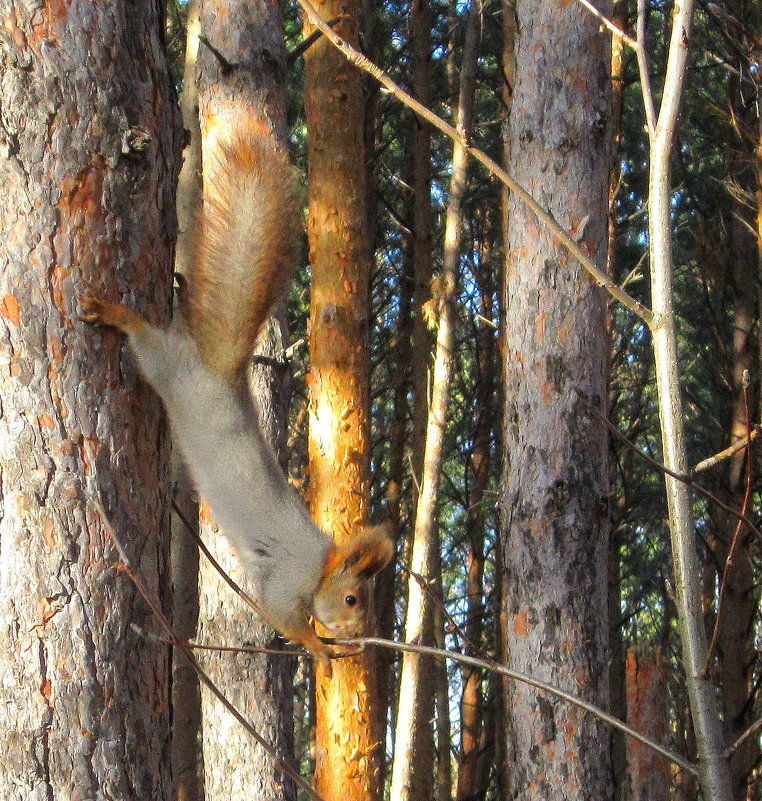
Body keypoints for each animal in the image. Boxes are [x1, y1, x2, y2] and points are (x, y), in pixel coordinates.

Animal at [81, 117, 394, 668]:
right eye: (353, 598)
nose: (360, 636)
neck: (319, 563)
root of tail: (218, 372)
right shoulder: (285, 579)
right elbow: (281, 616)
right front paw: (319, 645)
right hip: (168, 367)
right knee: (145, 340)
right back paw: (118, 315)